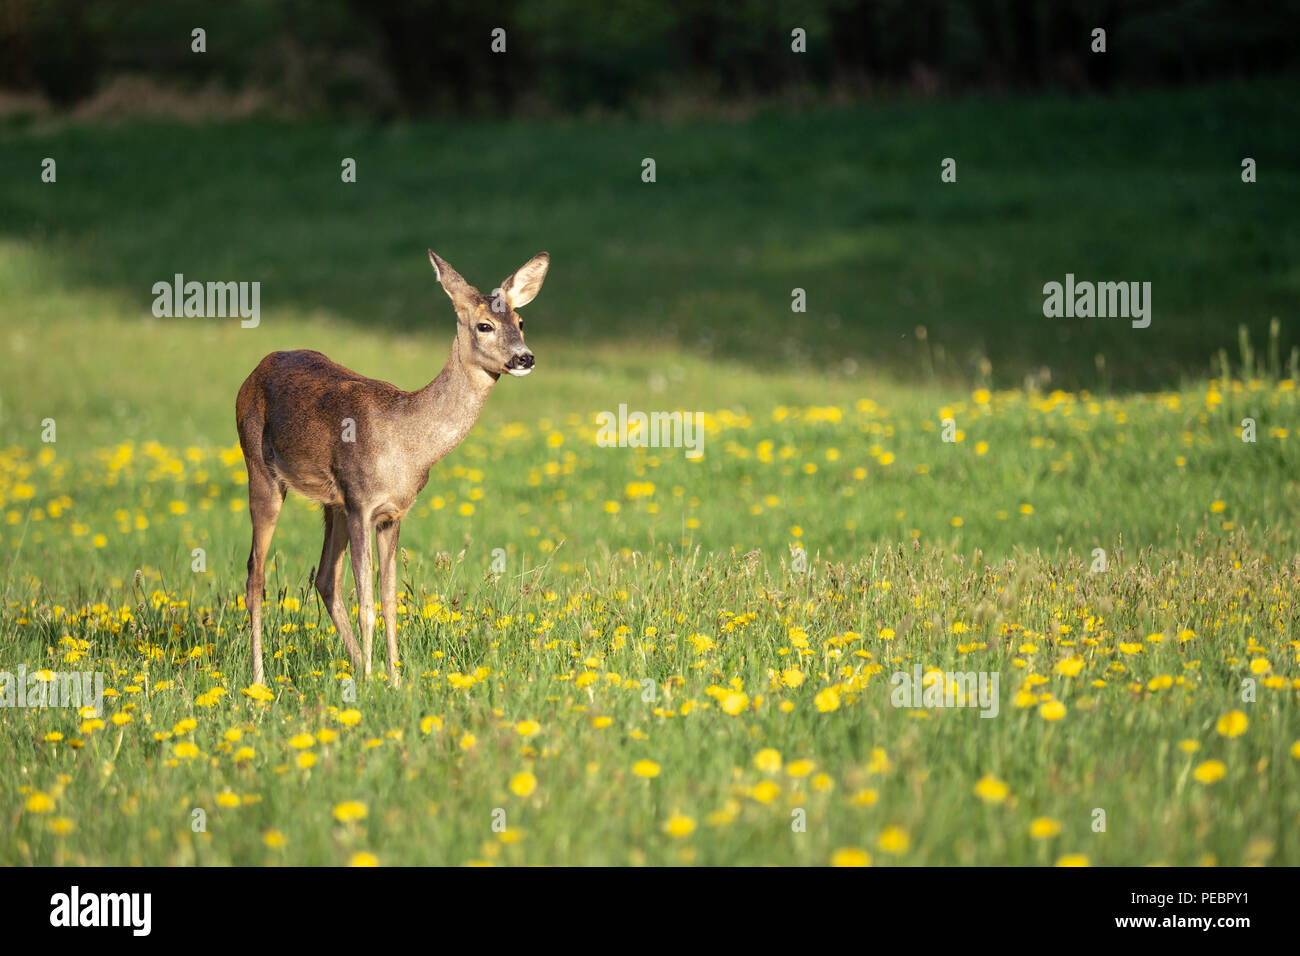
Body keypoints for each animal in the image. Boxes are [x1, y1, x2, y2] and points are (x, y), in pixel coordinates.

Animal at [235, 250, 549, 687]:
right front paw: (375, 681)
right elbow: (366, 602)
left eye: (521, 321)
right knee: (255, 576)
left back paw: (354, 667)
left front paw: (393, 681)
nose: (524, 357)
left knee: (324, 578)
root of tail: (254, 371)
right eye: (484, 325)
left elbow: (388, 600)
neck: (406, 441)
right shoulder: (361, 504)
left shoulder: (392, 512)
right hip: (260, 469)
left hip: (331, 503)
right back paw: (260, 681)